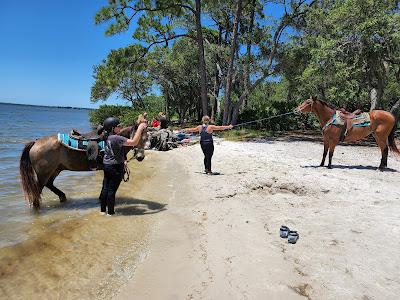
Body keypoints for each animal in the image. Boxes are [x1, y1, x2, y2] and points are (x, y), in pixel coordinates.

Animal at [19, 125, 148, 210]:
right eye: (138, 138)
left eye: (147, 138)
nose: (140, 157)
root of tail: (35, 143)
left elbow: (104, 185)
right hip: (44, 174)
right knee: (38, 191)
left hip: (55, 170)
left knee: (49, 184)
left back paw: (62, 197)